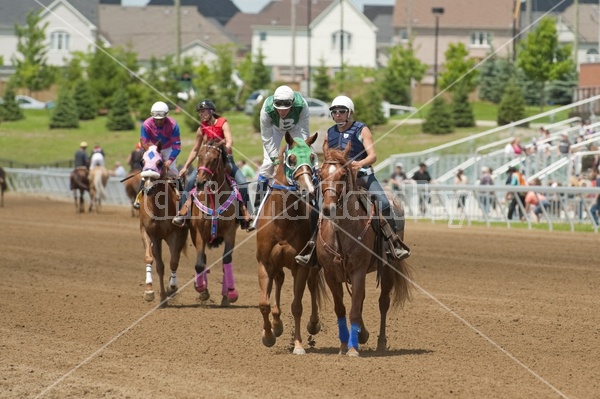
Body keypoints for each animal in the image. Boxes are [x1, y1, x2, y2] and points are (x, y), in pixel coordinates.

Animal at [139, 143, 189, 304]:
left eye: (160, 162)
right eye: (142, 161)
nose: (148, 188)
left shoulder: (175, 234)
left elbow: (173, 261)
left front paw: (171, 287)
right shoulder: (154, 235)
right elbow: (158, 265)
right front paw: (158, 295)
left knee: (176, 257)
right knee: (150, 258)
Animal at [190, 139, 241, 308]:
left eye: (213, 159)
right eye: (199, 156)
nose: (200, 182)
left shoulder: (230, 233)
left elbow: (226, 260)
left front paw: (231, 294)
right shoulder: (199, 233)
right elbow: (199, 263)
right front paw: (201, 288)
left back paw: (225, 296)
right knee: (203, 259)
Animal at [254, 133, 326, 354]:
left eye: (312, 157)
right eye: (291, 159)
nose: (308, 190)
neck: (282, 220)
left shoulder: (299, 266)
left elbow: (297, 305)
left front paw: (298, 344)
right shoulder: (265, 263)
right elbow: (264, 303)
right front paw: (268, 335)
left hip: (311, 264)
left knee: (312, 285)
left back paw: (313, 323)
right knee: (278, 281)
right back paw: (276, 325)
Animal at [318, 145, 412, 358]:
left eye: (343, 174)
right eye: (320, 174)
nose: (328, 208)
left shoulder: (358, 271)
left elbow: (354, 308)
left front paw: (353, 349)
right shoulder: (330, 274)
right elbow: (341, 308)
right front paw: (344, 345)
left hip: (388, 268)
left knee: (383, 302)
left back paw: (380, 342)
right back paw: (361, 334)